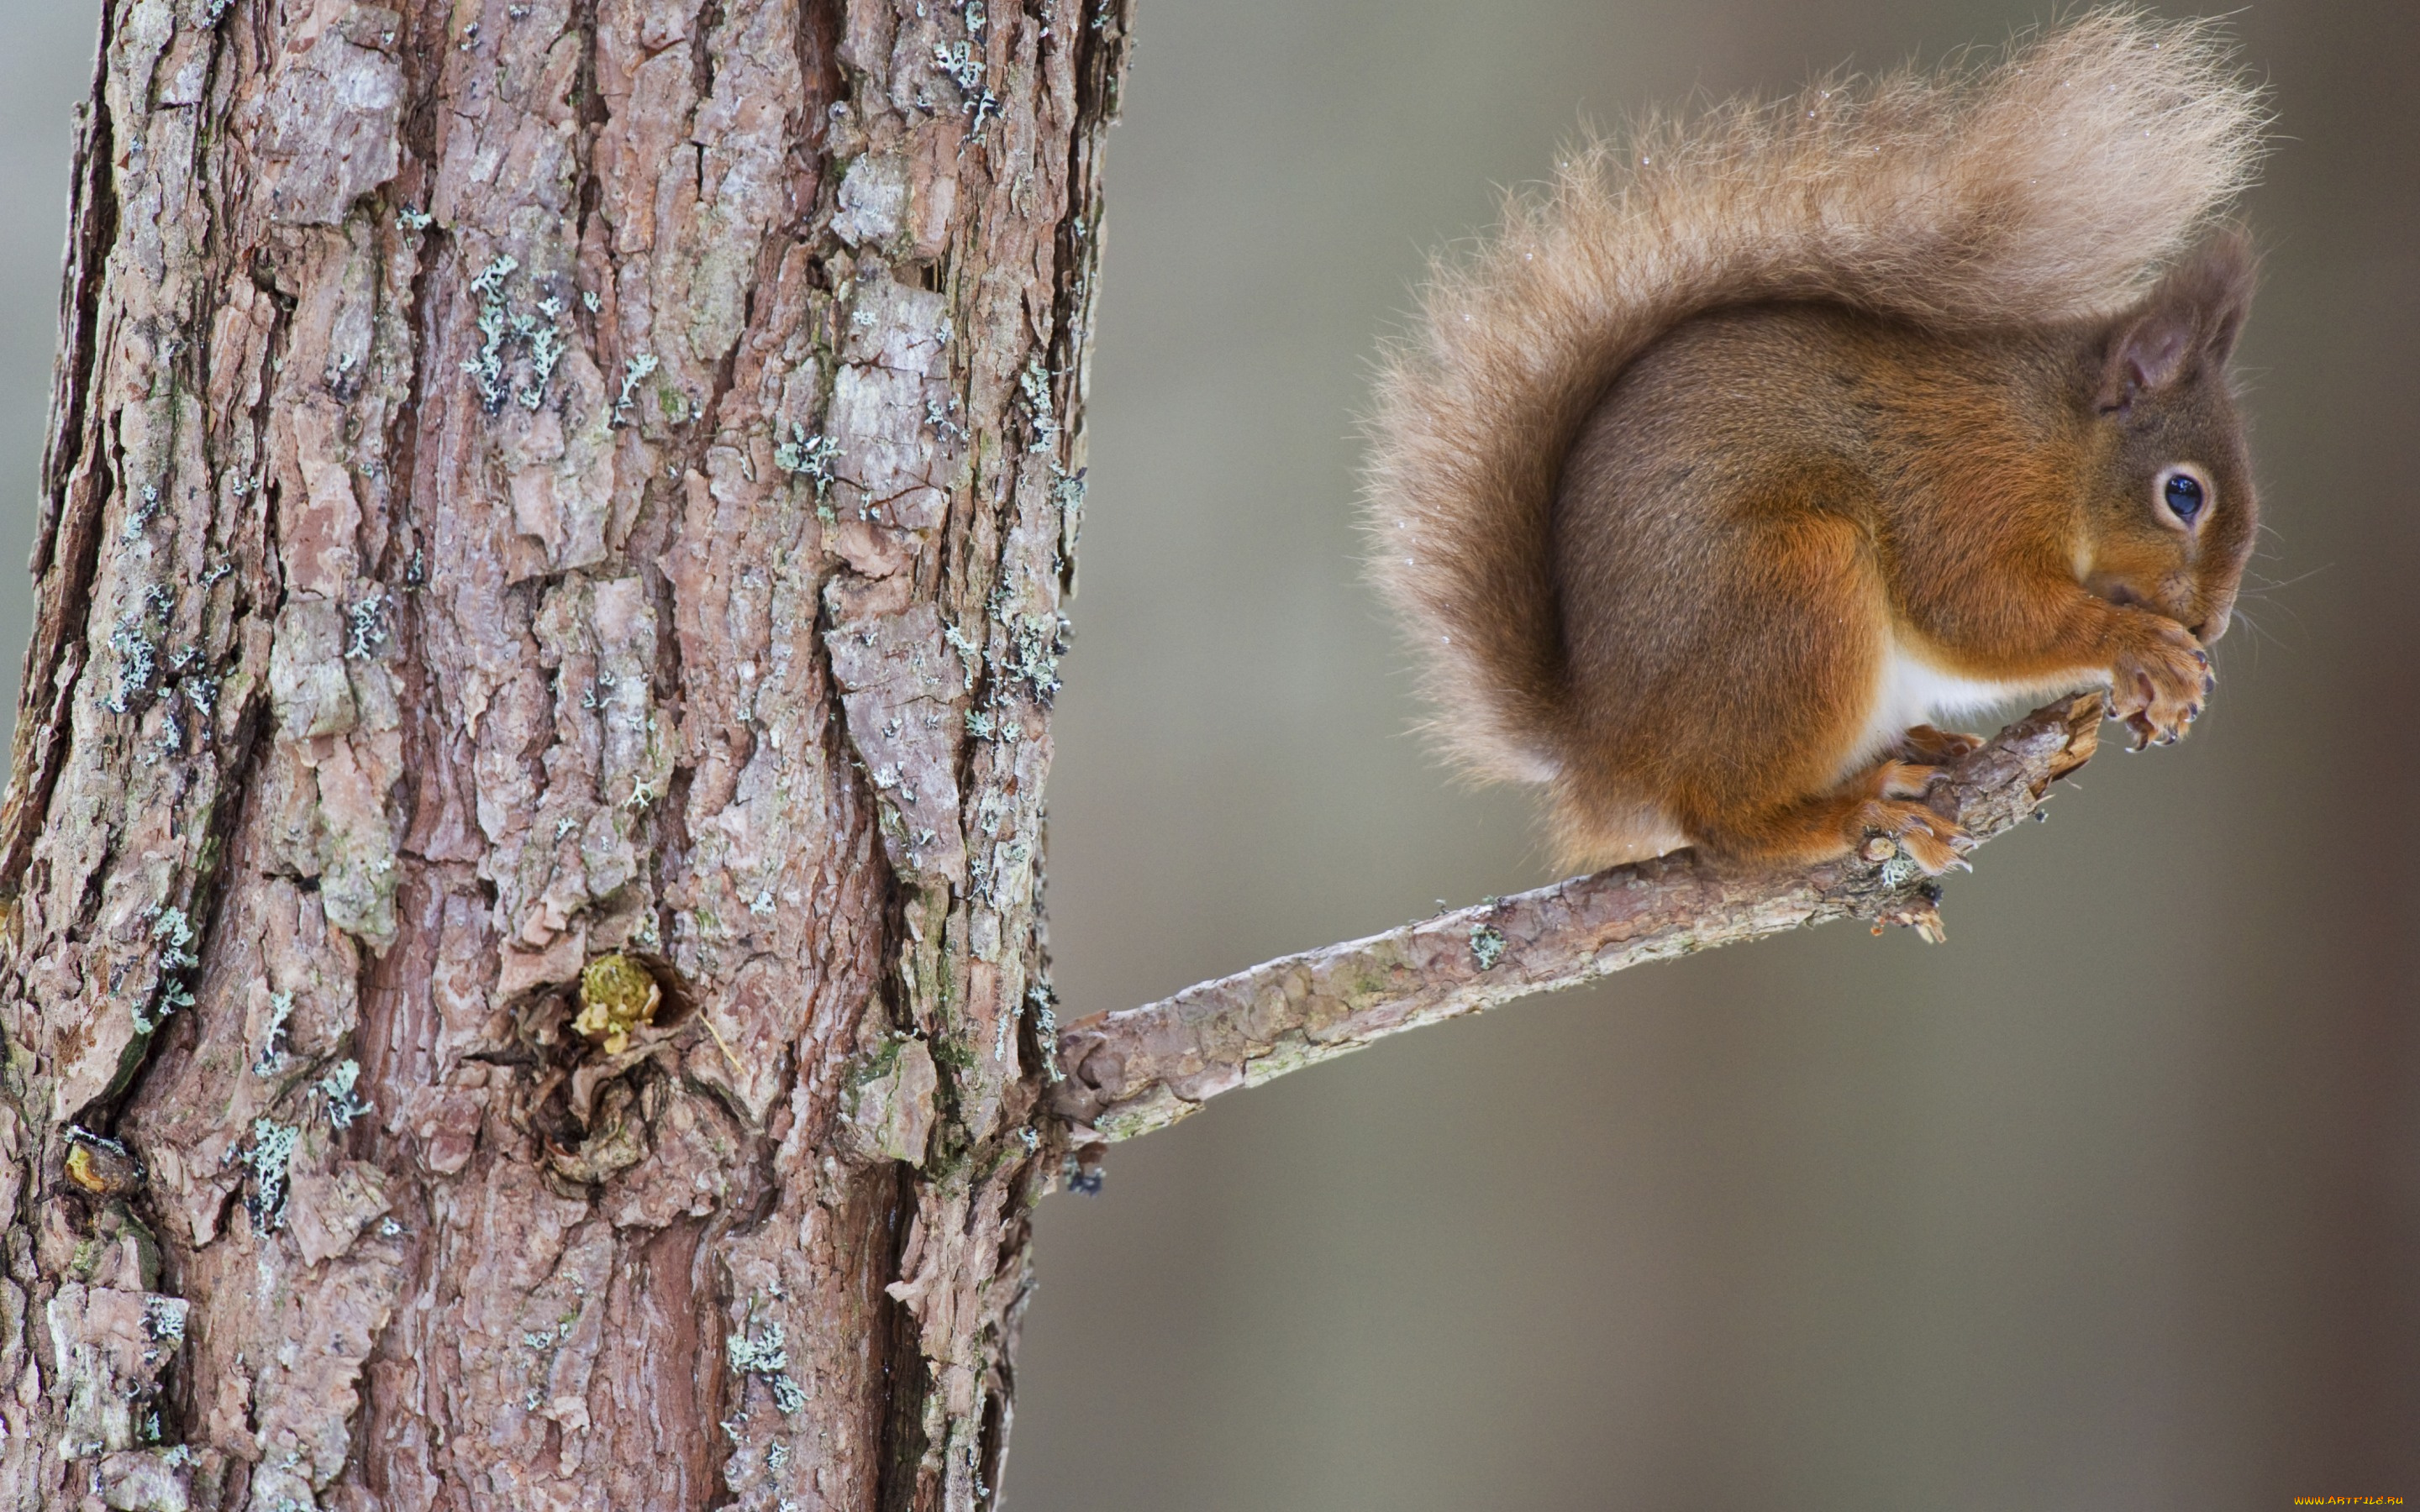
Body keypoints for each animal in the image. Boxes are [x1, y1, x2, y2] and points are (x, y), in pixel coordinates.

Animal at [1374, 14, 2255, 870]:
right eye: (2183, 494)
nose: (2209, 628)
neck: (2057, 442)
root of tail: (1608, 755)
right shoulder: (1966, 491)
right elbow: (1977, 613)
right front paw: (2138, 647)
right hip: (1795, 591)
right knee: (1726, 824)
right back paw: (1853, 811)